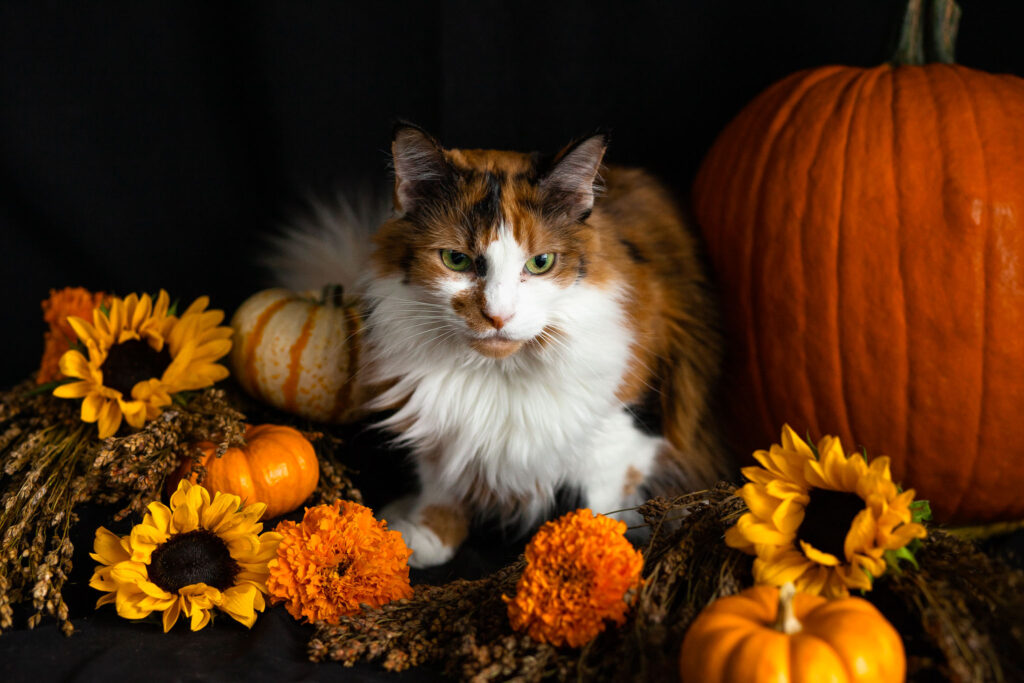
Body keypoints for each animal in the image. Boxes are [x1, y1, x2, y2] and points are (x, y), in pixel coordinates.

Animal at [272, 124, 729, 565]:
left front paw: (587, 552)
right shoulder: (441, 424)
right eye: (455, 260)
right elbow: (442, 482)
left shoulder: (620, 432)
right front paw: (431, 535)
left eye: (541, 263)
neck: (498, 373)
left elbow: (595, 504)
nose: (497, 316)